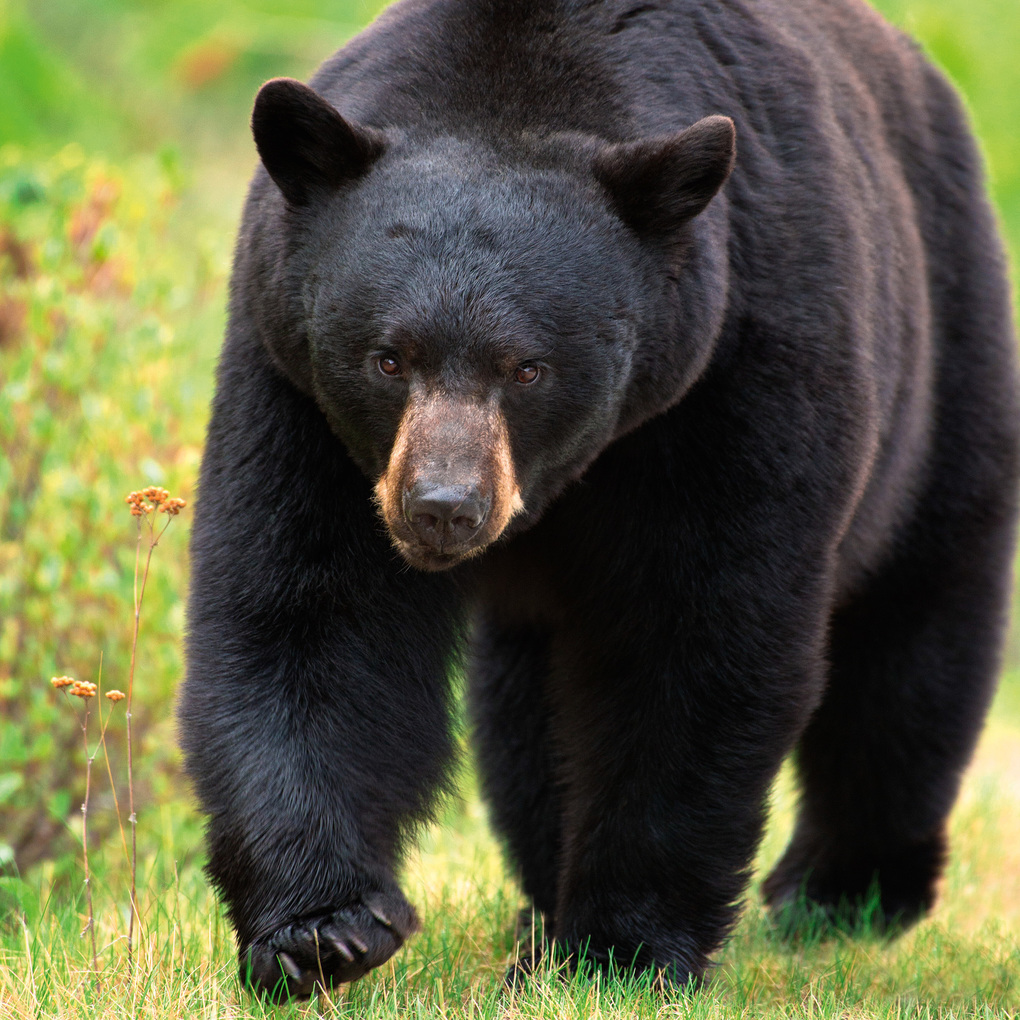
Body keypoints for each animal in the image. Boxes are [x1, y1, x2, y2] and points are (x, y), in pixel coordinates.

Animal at [178, 0, 1020, 1001]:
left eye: (527, 367)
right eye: (388, 357)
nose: (442, 507)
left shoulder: (735, 371)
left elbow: (691, 639)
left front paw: (625, 949)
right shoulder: (295, 383)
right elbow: (310, 612)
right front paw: (322, 930)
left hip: (946, 354)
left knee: (913, 640)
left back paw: (844, 893)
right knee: (528, 704)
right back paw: (542, 908)